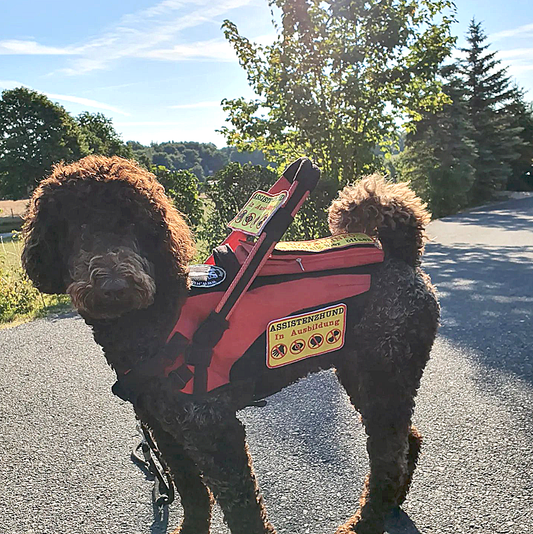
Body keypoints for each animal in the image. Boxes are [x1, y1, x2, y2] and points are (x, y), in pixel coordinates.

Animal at [22, 156, 438, 534]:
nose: (114, 286)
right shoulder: (165, 432)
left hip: (384, 373)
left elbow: (242, 510)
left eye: (137, 225)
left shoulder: (214, 431)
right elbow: (192, 492)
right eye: (76, 227)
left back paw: (365, 522)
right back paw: (392, 503)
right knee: (407, 440)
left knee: (388, 460)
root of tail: (401, 255)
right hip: (361, 372)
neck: (156, 315)